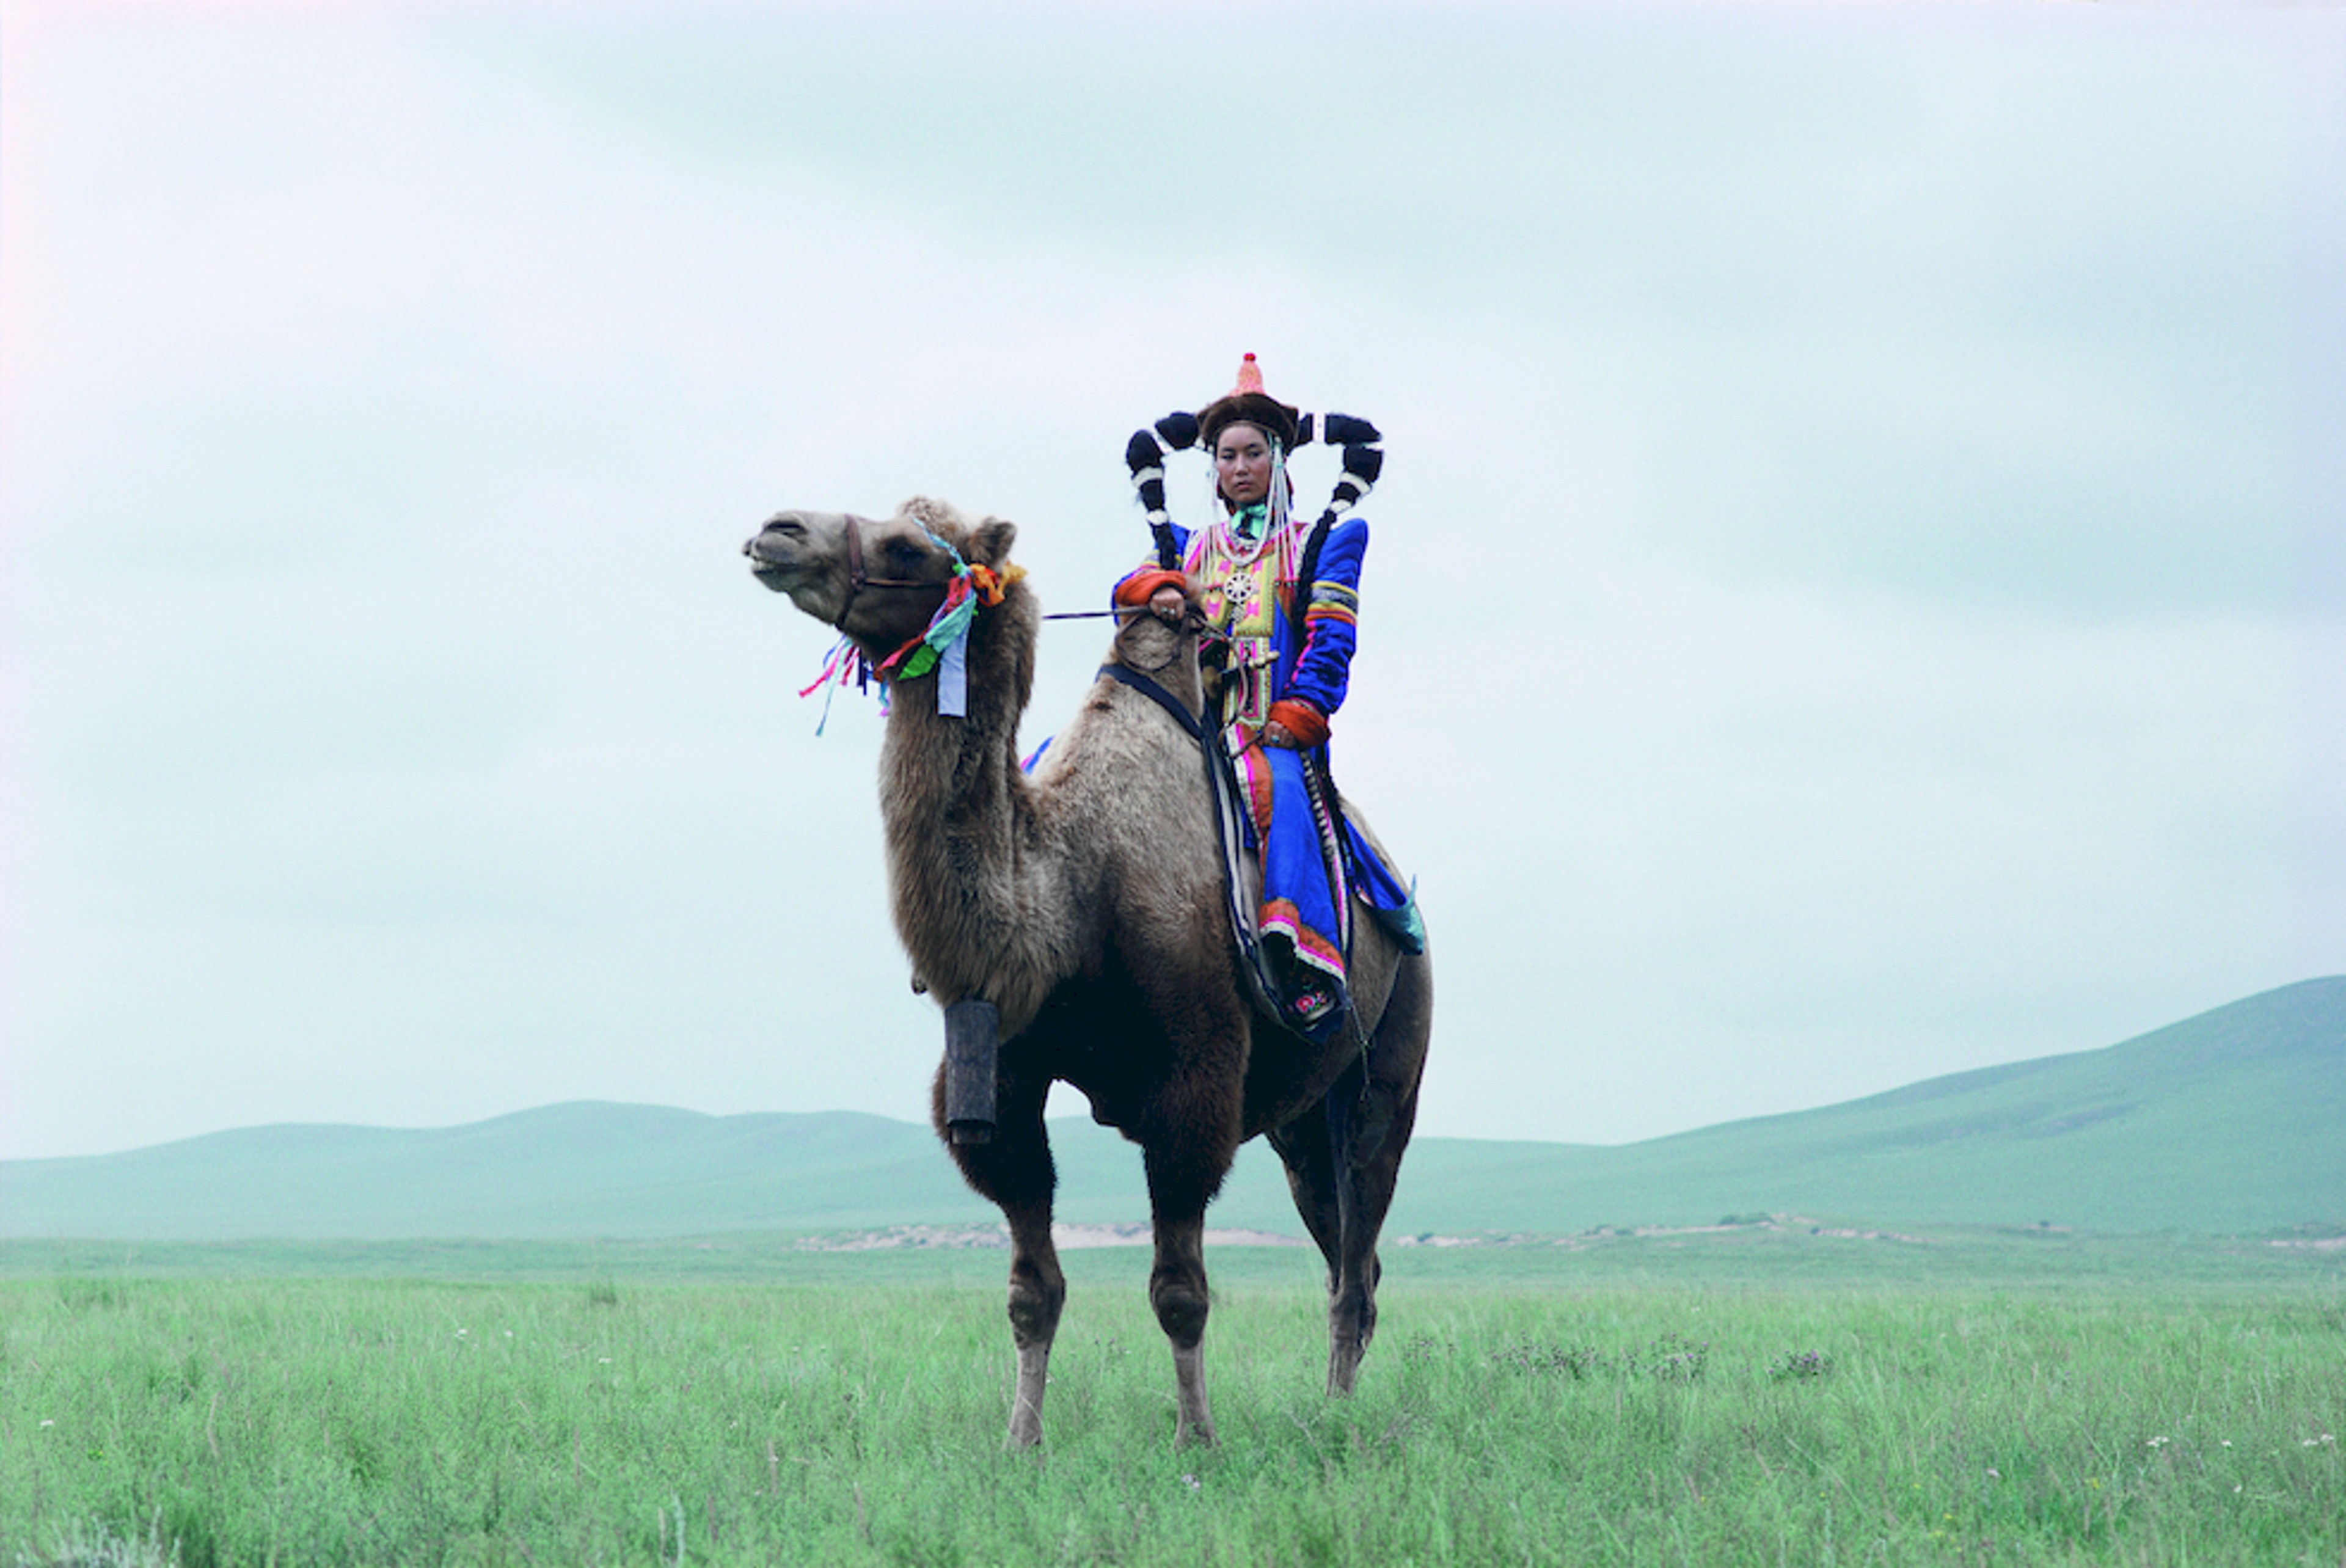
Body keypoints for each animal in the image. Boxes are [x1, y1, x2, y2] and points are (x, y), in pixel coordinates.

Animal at [743, 497, 1432, 1448]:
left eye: (908, 546)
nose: (776, 531)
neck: (1072, 891)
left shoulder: (1194, 1080)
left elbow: (1179, 1291)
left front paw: (1196, 1438)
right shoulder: (1003, 1076)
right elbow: (1033, 1292)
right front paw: (1021, 1441)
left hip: (1387, 1067)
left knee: (1358, 1253)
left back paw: (1337, 1415)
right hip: (1300, 1119)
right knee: (1342, 1253)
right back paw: (1332, 1403)